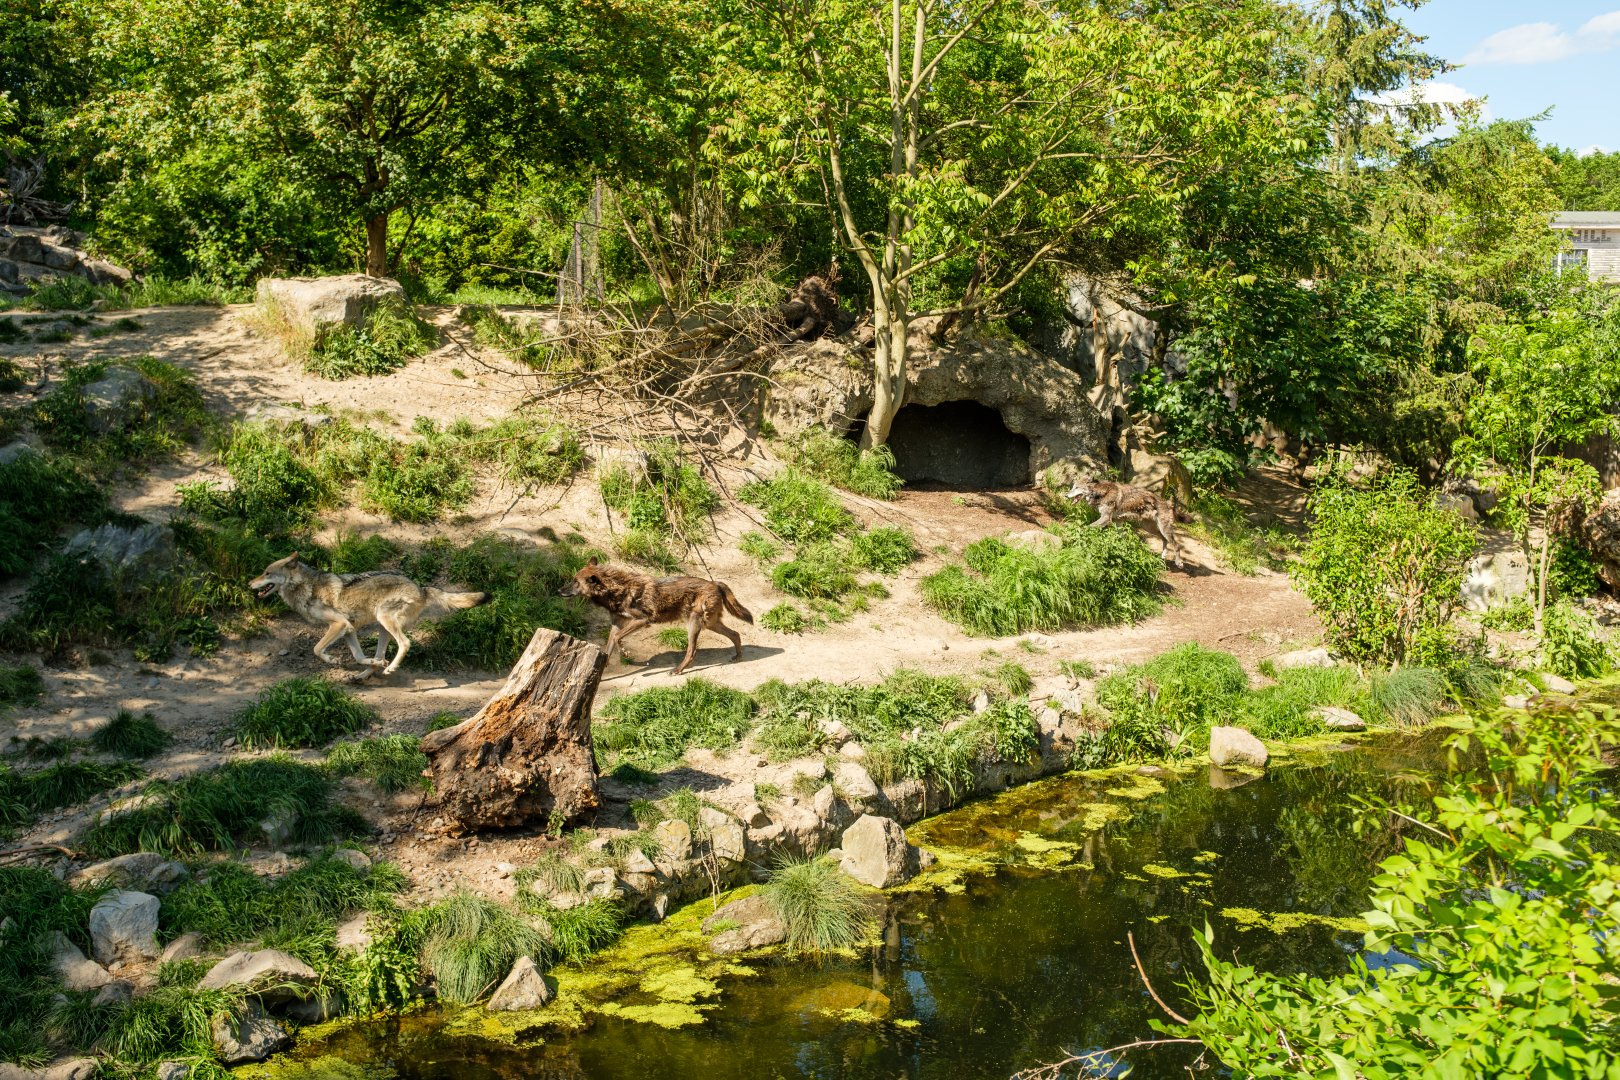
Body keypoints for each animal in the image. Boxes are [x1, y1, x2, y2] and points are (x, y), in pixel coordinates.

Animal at [249, 553, 487, 676]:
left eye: (267, 573)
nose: (249, 583)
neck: (306, 586)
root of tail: (421, 588)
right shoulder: (348, 629)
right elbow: (358, 656)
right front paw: (363, 662)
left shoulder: (338, 624)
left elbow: (316, 649)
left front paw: (331, 659)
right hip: (382, 627)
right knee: (380, 655)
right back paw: (372, 669)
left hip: (384, 619)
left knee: (405, 643)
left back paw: (390, 668)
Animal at [559, 558, 753, 675]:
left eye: (575, 582)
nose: (559, 590)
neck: (617, 590)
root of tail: (715, 583)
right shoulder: (618, 623)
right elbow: (611, 643)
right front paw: (605, 664)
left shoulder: (642, 620)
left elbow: (617, 638)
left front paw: (625, 652)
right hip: (710, 624)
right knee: (735, 634)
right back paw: (738, 657)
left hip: (695, 625)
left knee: (692, 651)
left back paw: (677, 670)